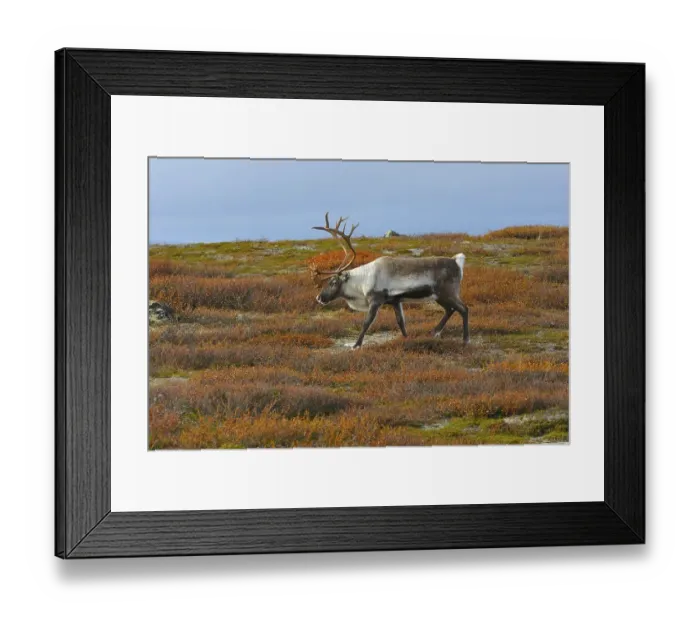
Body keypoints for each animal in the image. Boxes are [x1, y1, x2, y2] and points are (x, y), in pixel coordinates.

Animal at [311, 213, 469, 349]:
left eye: (333, 282)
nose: (319, 297)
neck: (363, 281)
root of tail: (457, 262)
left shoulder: (375, 300)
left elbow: (366, 323)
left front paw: (356, 345)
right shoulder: (395, 301)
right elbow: (401, 322)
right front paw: (406, 339)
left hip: (448, 292)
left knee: (463, 309)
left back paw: (465, 340)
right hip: (439, 296)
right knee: (450, 309)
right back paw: (434, 332)